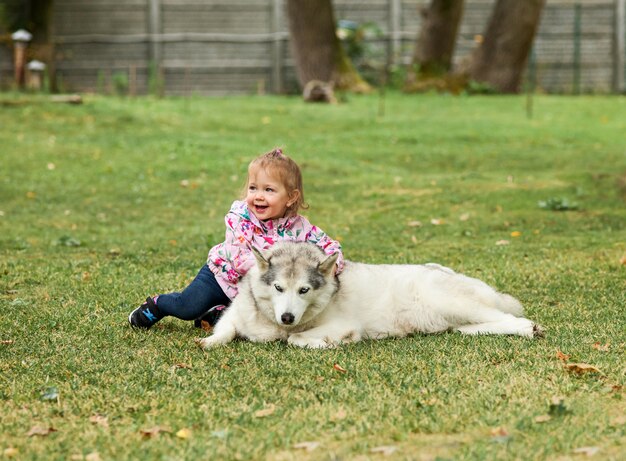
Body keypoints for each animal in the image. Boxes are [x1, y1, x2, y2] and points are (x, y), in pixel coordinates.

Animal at [199, 243, 540, 346]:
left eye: (304, 290)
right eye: (278, 288)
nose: (287, 317)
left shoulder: (342, 324)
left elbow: (296, 340)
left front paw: (324, 343)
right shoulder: (236, 314)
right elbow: (224, 330)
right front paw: (209, 341)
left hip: (454, 301)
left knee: (514, 320)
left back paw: (530, 328)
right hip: (456, 318)